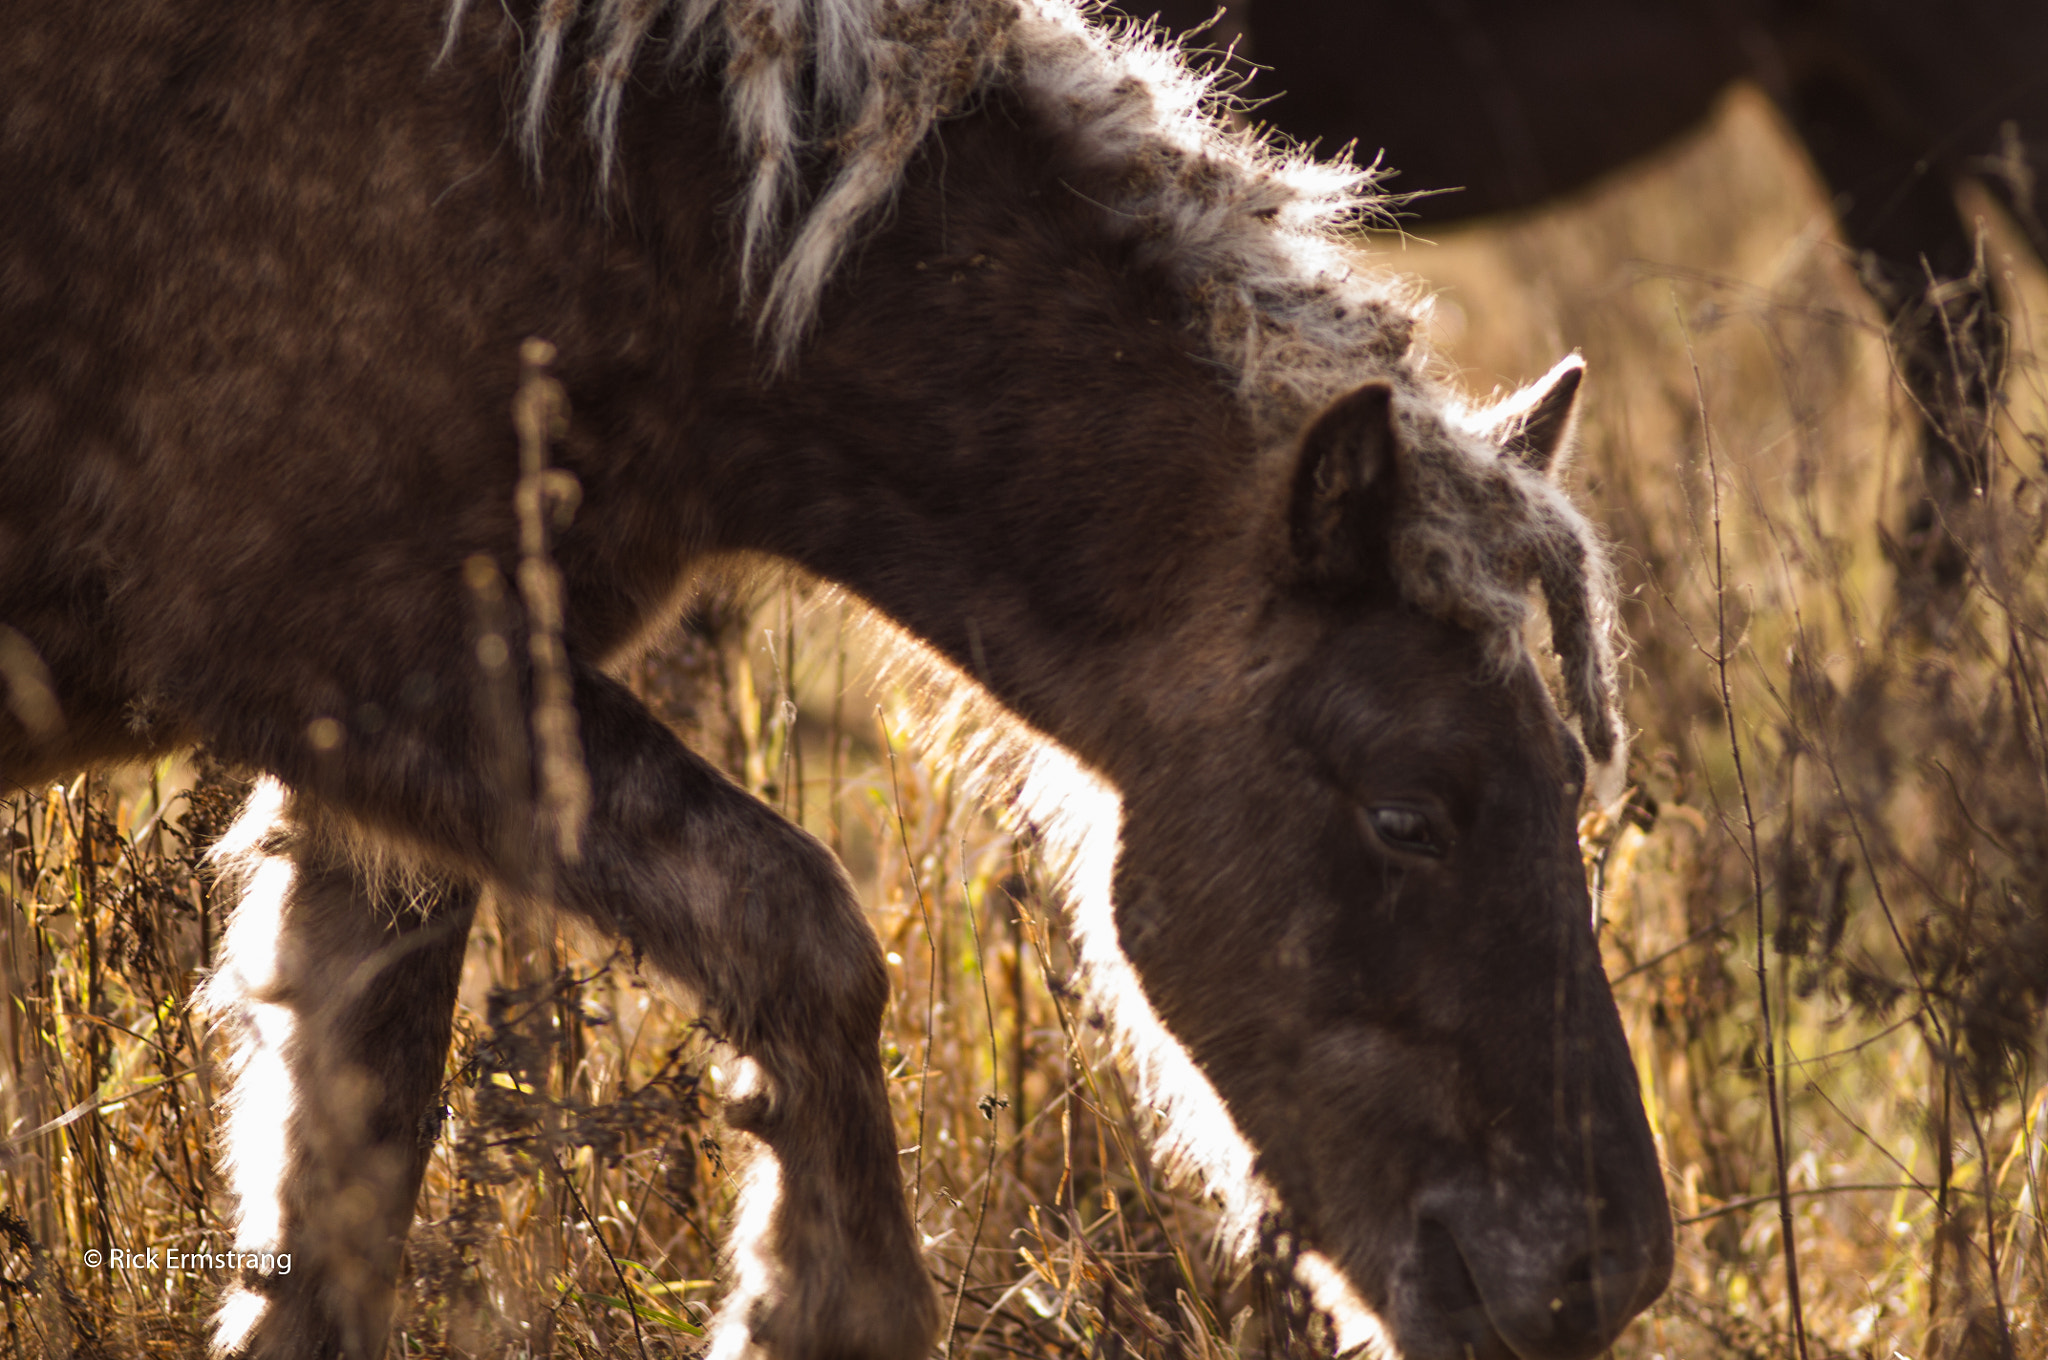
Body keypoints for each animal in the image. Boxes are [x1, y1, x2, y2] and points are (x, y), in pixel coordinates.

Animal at [0, 2, 1662, 1360]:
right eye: (1405, 817)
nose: (1604, 1276)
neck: (605, 179)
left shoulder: (388, 743)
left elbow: (349, 1155)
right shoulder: (344, 653)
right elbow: (791, 924)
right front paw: (813, 1304)